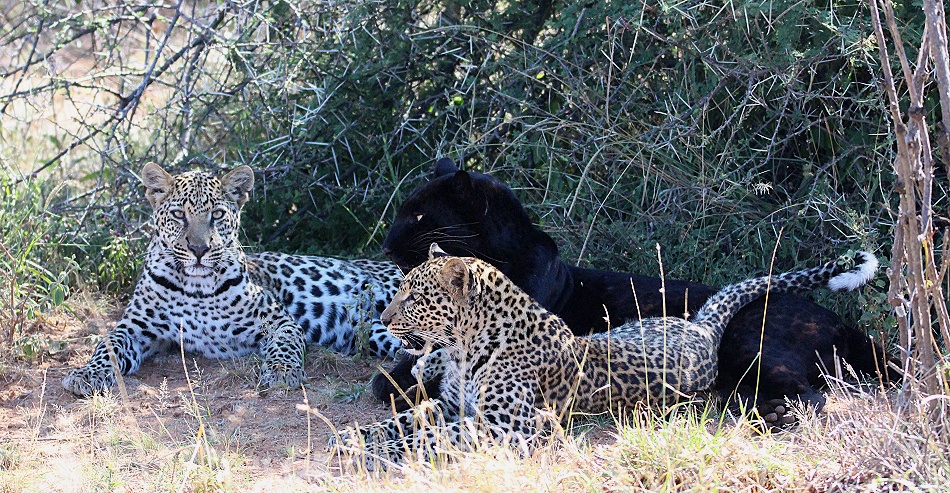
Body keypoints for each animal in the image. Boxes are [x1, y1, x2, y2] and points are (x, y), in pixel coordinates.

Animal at [63, 162, 402, 397]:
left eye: (217, 215)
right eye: (178, 215)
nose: (199, 249)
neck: (195, 289)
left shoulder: (277, 319)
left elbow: (285, 343)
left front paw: (281, 372)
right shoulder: (137, 327)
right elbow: (108, 345)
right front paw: (86, 374)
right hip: (375, 333)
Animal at [332, 245, 878, 467]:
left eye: (414, 295)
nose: (384, 318)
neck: (465, 347)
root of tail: (700, 327)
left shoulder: (507, 428)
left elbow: (431, 436)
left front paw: (378, 454)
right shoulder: (451, 404)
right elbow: (402, 422)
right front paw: (354, 439)